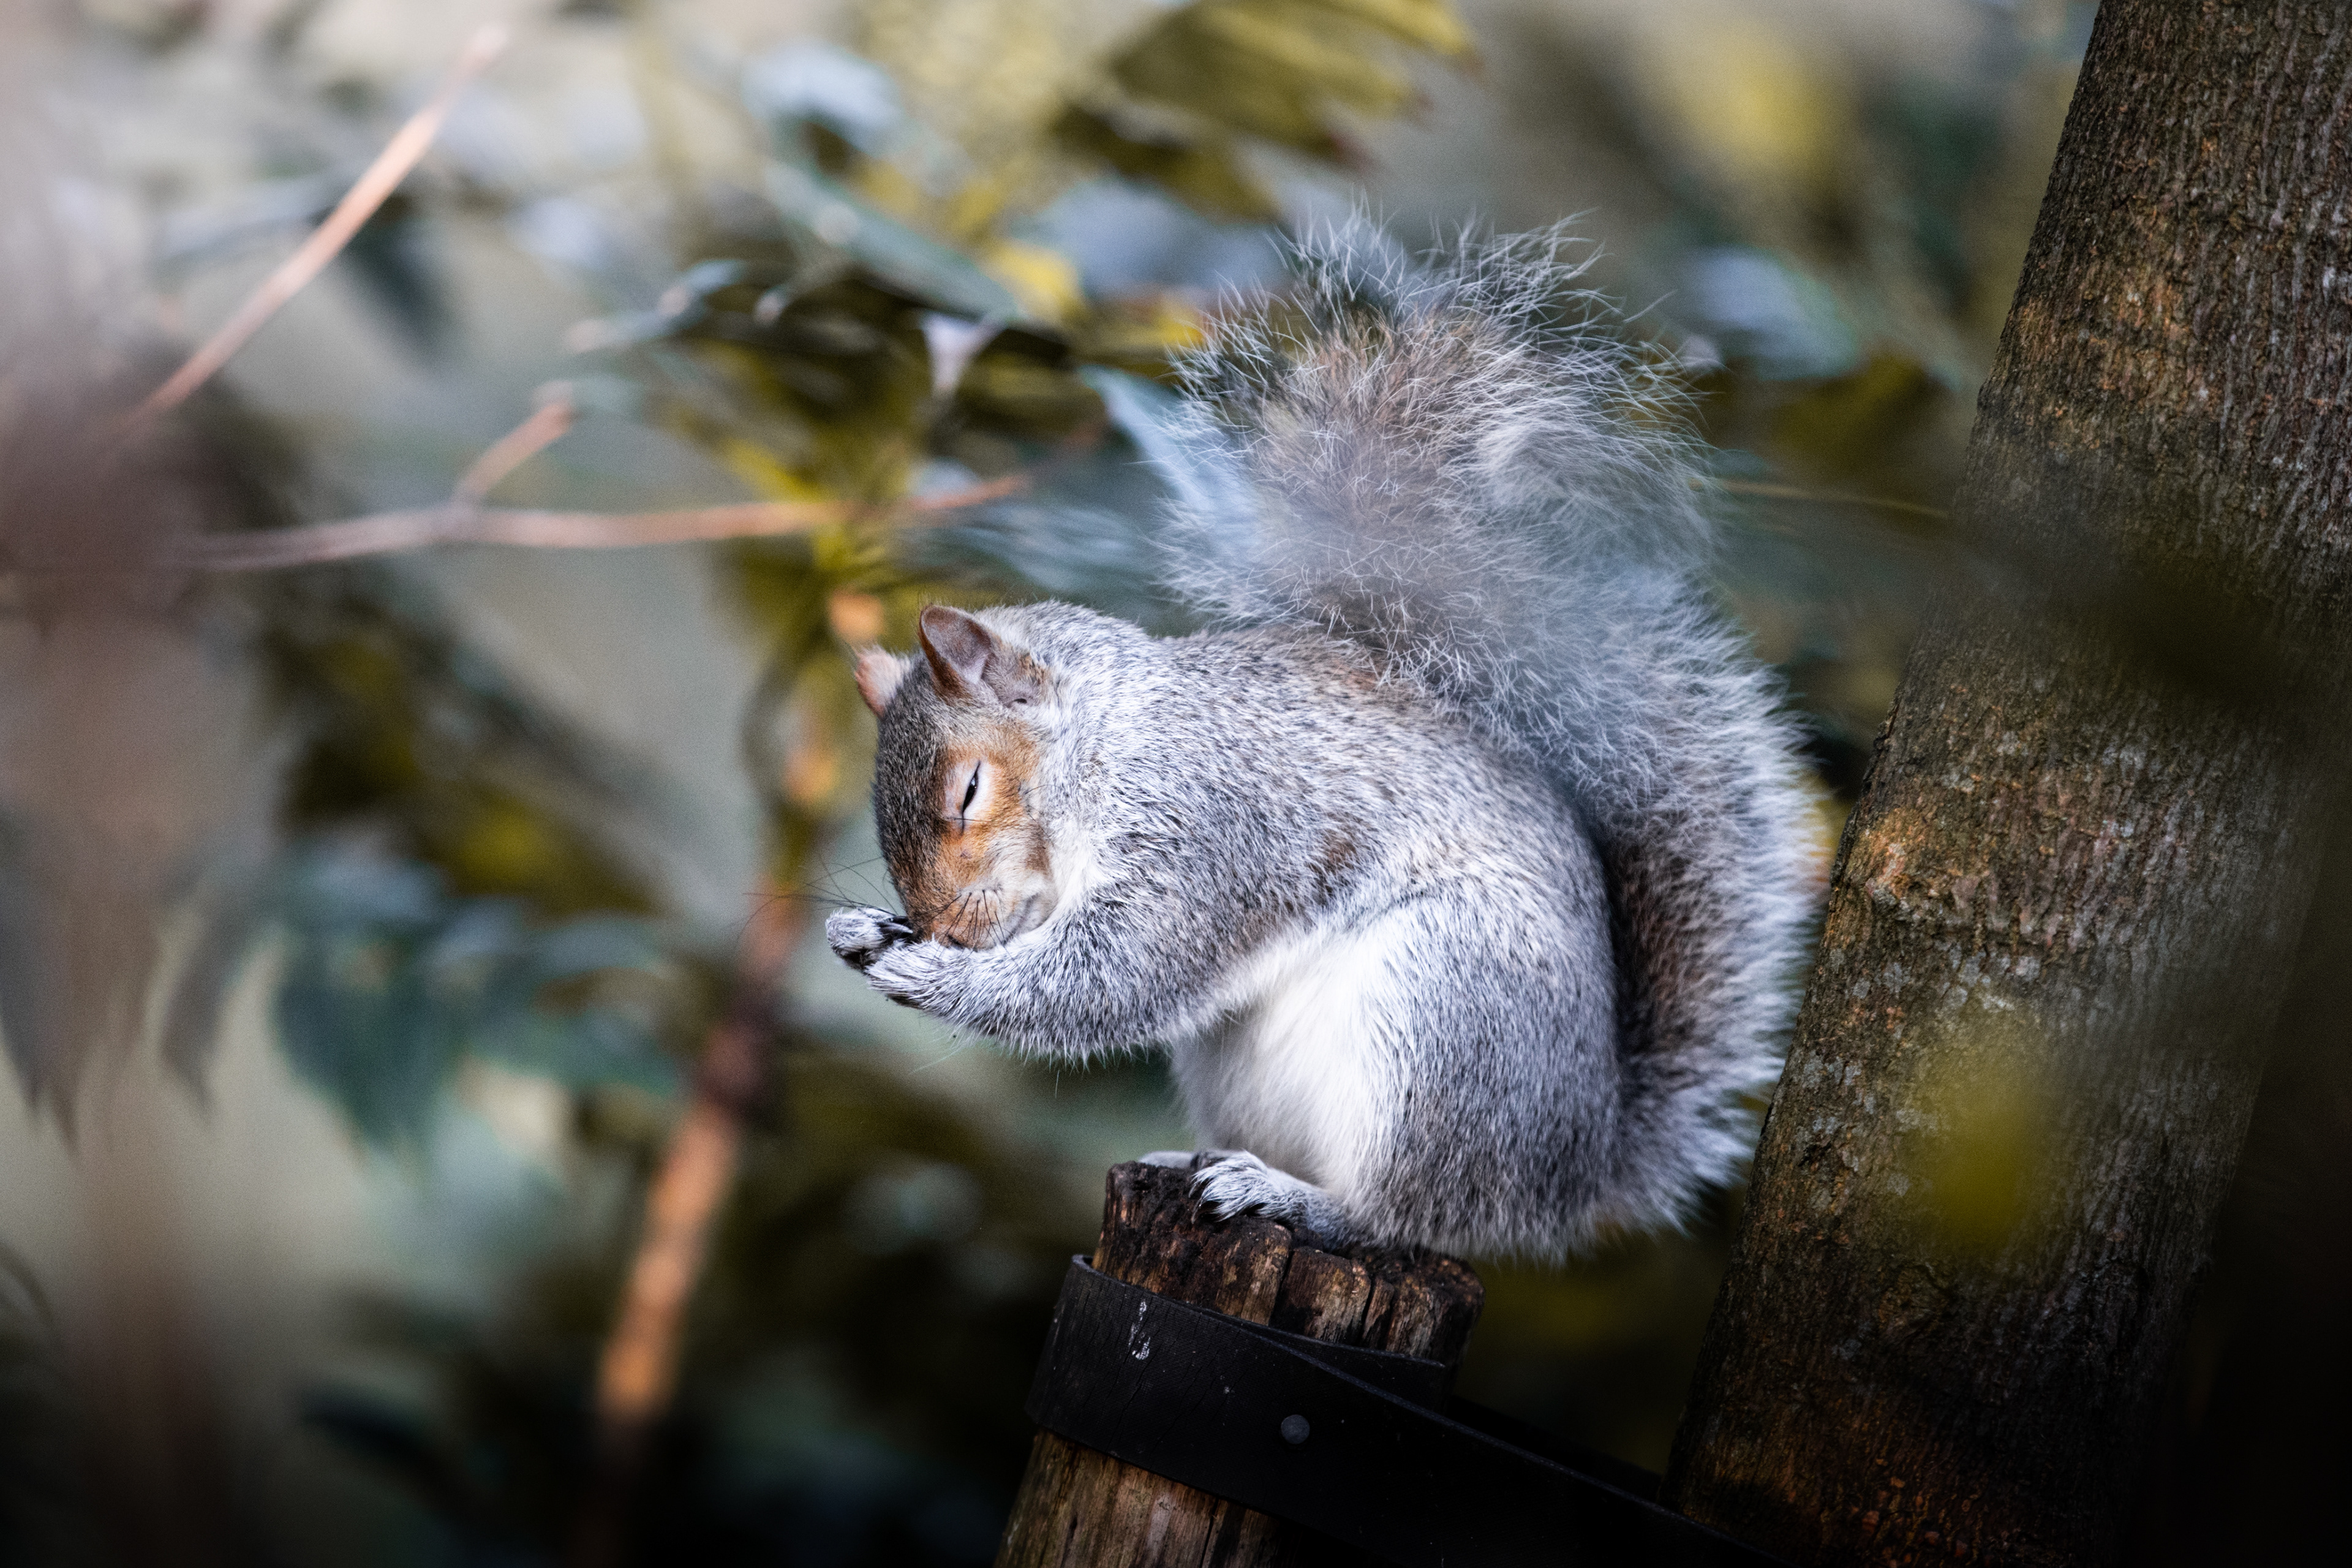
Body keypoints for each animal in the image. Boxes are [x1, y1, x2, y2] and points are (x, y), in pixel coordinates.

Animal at [825, 227, 1824, 1258]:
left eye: (969, 791)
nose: (943, 926)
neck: (1113, 742)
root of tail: (1571, 1178)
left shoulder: (1208, 827)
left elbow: (1117, 970)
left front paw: (934, 975)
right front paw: (865, 932)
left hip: (1445, 1006)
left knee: (1407, 1217)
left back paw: (1299, 1200)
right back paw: (1196, 1162)